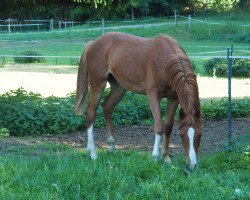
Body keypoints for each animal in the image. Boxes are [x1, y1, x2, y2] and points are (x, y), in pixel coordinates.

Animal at [74, 32, 201, 171]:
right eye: (182, 135)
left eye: (199, 135)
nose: (192, 165)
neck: (167, 61)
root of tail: (93, 43)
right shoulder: (153, 95)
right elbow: (159, 126)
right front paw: (155, 157)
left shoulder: (174, 98)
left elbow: (168, 127)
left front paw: (166, 158)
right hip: (98, 84)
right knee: (91, 113)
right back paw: (92, 152)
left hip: (119, 88)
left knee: (107, 107)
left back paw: (111, 145)